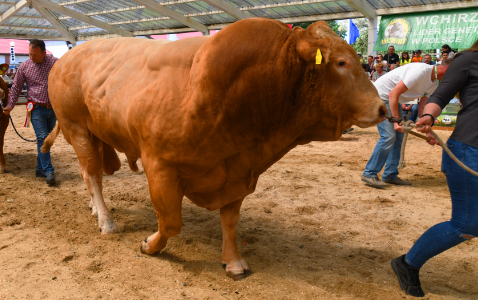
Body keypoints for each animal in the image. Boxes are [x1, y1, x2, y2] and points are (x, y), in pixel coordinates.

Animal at [41, 18, 386, 278]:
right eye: (341, 63)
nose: (383, 108)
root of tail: (67, 58)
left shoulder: (238, 171)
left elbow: (230, 221)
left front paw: (233, 262)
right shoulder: (160, 167)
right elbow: (171, 222)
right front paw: (150, 245)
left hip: (93, 133)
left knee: (89, 176)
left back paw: (94, 208)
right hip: (76, 128)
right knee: (93, 176)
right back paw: (106, 220)